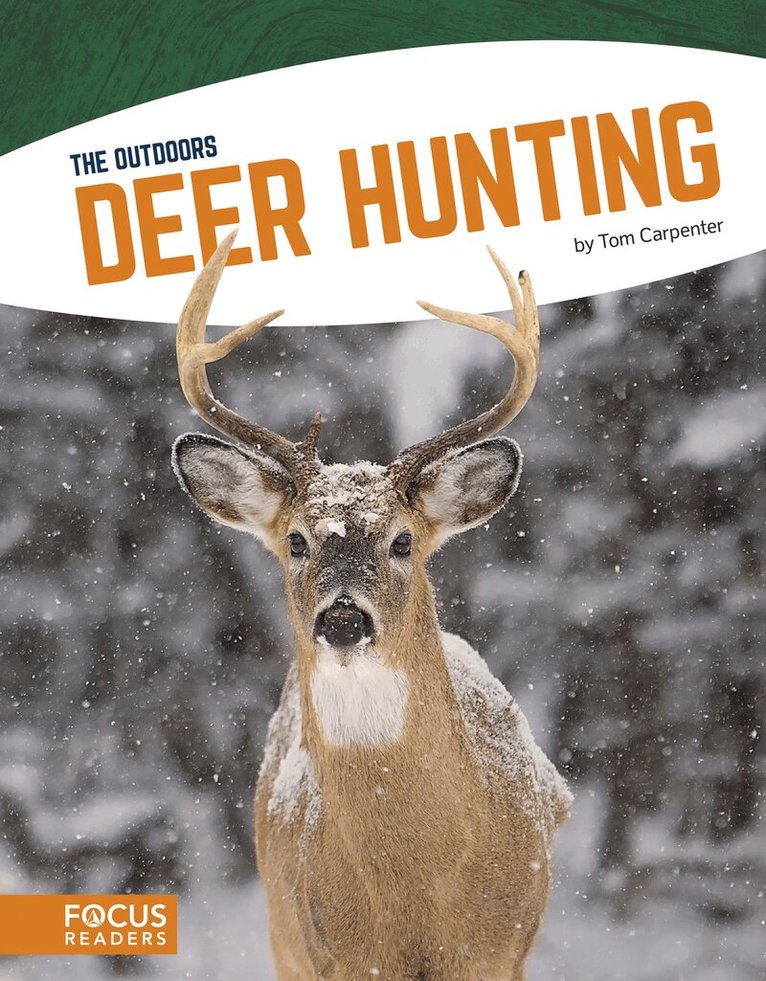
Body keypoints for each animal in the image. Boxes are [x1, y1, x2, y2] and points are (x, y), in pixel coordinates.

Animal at [171, 232, 572, 981]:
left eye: (403, 539)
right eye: (296, 541)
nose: (343, 617)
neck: (415, 895)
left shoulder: (501, 951)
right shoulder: (328, 954)